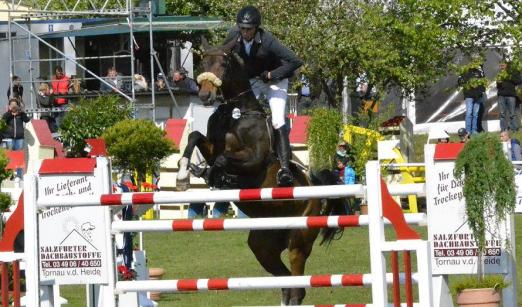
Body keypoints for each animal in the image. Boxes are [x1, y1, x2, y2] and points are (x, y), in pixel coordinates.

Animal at [175, 39, 346, 306]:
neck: (236, 114)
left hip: (298, 242)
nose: (205, 95)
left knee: (297, 287)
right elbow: (194, 136)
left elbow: (223, 160)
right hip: (263, 246)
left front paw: (216, 176)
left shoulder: (253, 160)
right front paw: (185, 174)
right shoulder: (211, 146)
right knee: (286, 284)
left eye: (224, 64)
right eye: (203, 62)